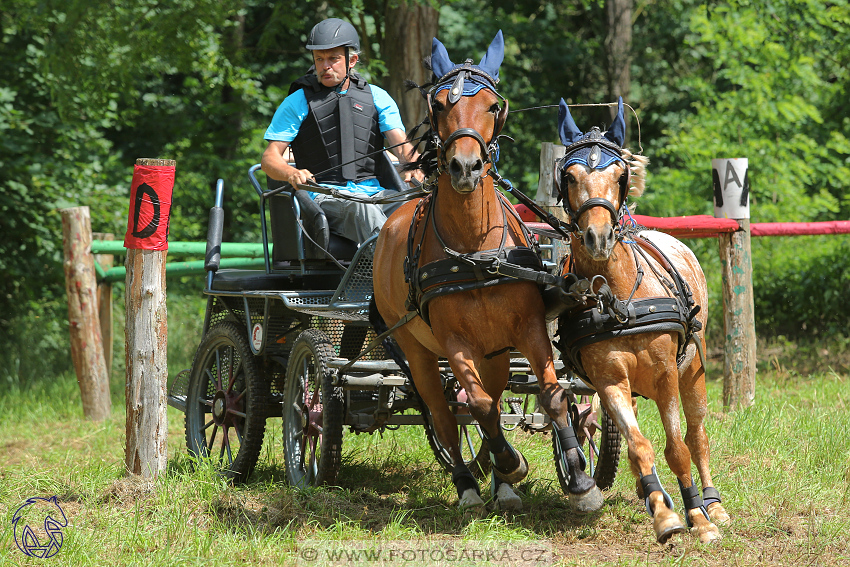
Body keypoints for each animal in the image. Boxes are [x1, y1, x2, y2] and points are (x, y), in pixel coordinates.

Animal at [372, 32, 604, 516]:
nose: (465, 167)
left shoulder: (528, 327)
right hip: (417, 349)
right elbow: (476, 405)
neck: (475, 252)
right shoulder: (452, 340)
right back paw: (470, 485)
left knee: (494, 400)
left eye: (493, 105)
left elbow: (551, 395)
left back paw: (502, 485)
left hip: (494, 352)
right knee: (446, 414)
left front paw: (579, 480)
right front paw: (512, 463)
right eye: (439, 104)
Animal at [548, 98, 728, 544]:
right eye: (570, 175)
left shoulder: (665, 374)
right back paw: (652, 494)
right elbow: (638, 446)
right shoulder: (609, 379)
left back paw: (713, 504)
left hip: (694, 370)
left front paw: (698, 519)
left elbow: (678, 448)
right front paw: (664, 515)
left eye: (619, 173)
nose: (597, 237)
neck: (618, 299)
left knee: (698, 435)